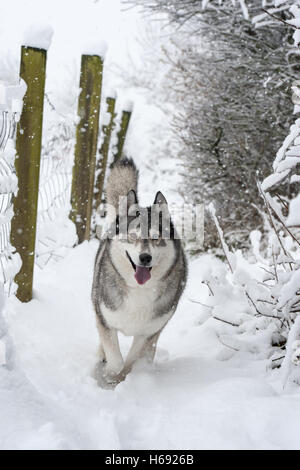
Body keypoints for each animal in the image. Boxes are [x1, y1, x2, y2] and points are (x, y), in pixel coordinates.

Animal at [91, 158, 186, 386]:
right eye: (133, 236)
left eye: (155, 238)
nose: (145, 258)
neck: (139, 290)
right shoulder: (105, 319)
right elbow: (115, 358)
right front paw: (109, 376)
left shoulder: (149, 332)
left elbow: (132, 362)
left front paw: (122, 379)